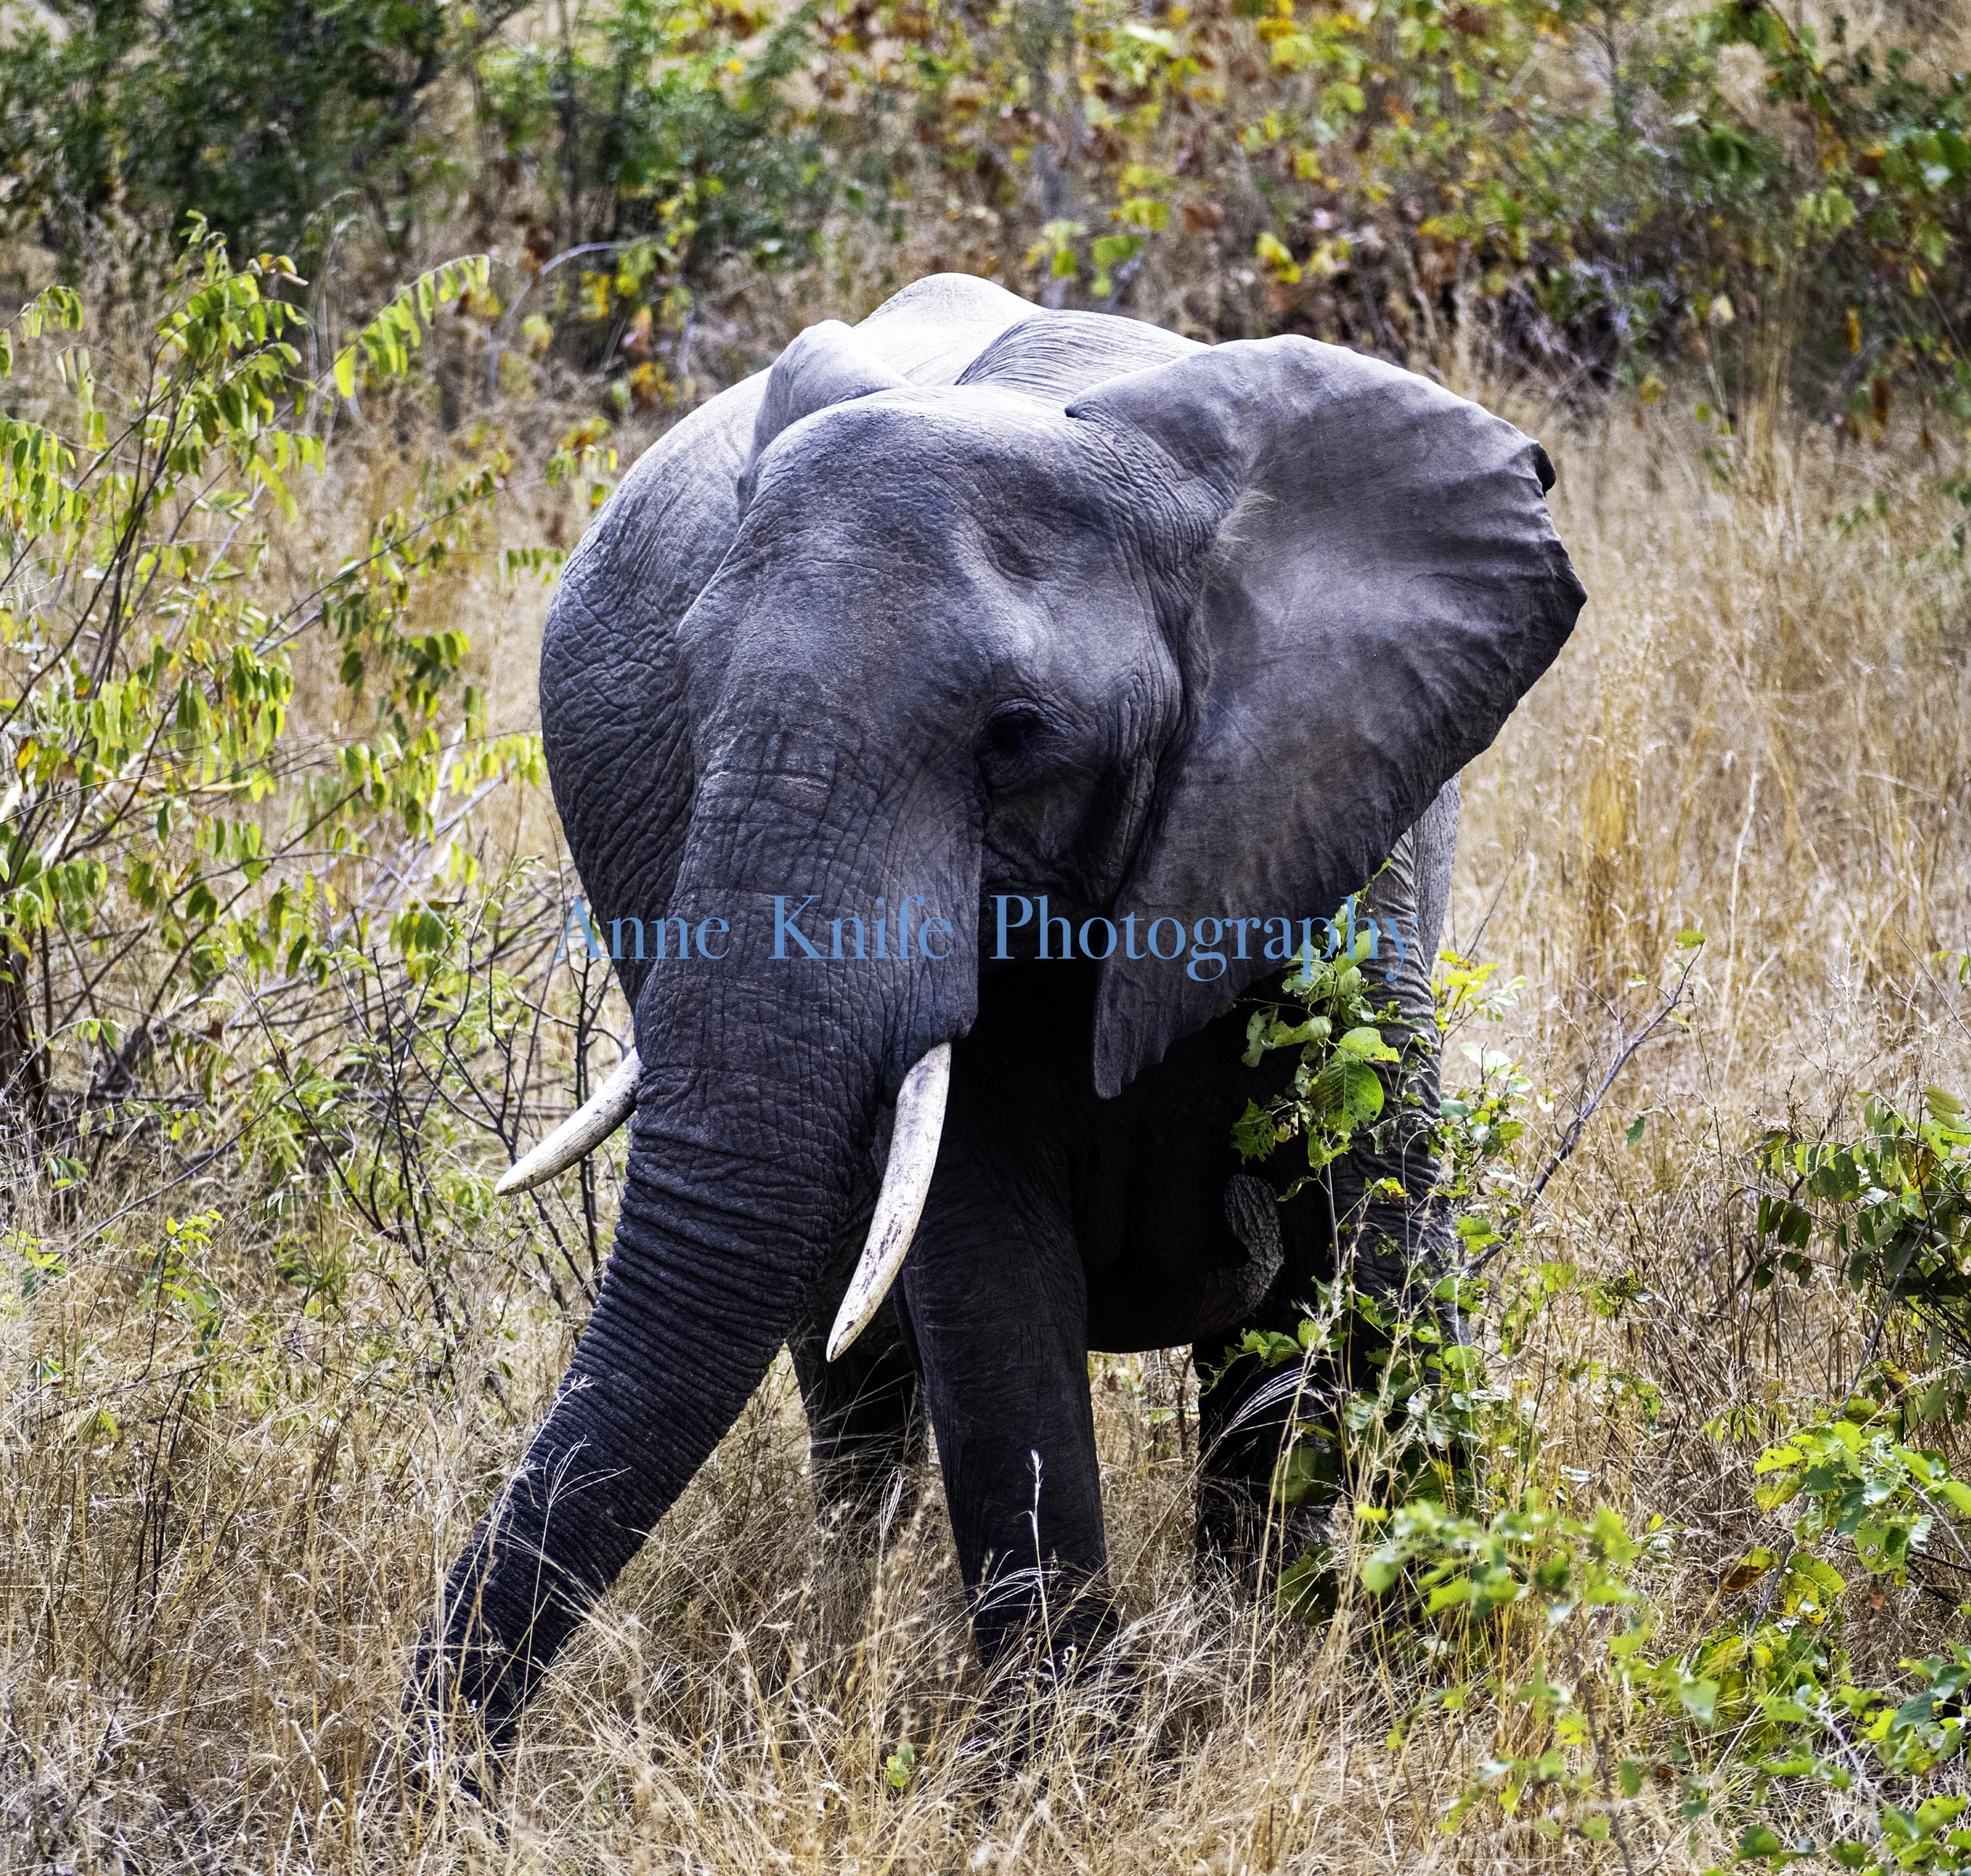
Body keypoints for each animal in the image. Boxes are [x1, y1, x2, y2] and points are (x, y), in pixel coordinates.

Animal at [415, 274, 1584, 1746]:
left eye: (1017, 735)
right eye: (691, 692)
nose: (432, 1773)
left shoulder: (1333, 821)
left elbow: (1376, 1247)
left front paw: (1417, 1692)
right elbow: (988, 1283)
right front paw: (1075, 1759)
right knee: (843, 1349)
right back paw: (844, 1639)